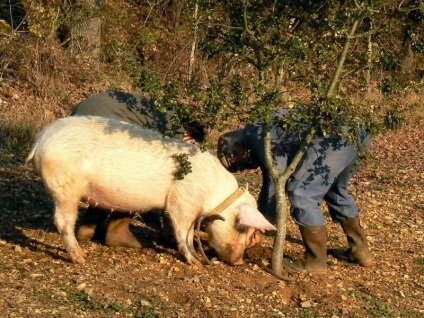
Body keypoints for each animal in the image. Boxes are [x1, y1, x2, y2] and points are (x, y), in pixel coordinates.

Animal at [25, 116, 274, 266]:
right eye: (241, 227)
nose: (240, 261)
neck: (212, 196)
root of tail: (40, 139)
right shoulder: (182, 203)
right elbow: (184, 232)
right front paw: (195, 263)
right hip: (64, 187)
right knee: (62, 222)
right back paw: (81, 259)